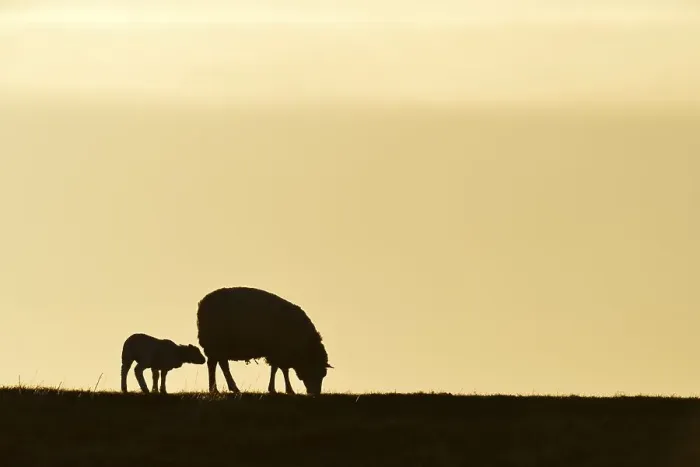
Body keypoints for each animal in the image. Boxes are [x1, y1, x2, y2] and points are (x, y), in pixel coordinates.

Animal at [196, 286, 333, 395]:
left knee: (217, 364)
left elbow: (280, 370)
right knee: (217, 365)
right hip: (216, 343)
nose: (315, 393)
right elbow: (279, 369)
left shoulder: (280, 353)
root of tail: (202, 303)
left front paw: (281, 389)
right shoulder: (279, 352)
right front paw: (281, 389)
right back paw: (224, 388)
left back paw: (218, 388)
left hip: (218, 346)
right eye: (316, 372)